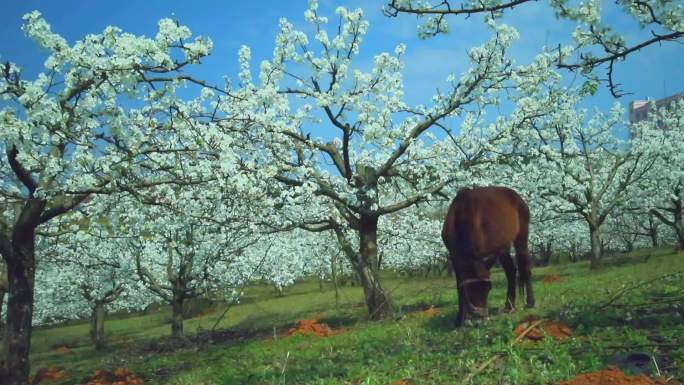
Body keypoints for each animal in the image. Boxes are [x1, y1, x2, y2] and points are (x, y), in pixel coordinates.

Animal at [444, 185, 536, 324]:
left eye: (488, 289)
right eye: (471, 289)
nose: (481, 319)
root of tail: (517, 196)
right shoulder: (454, 257)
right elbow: (459, 285)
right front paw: (460, 320)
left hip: (521, 236)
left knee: (524, 263)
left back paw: (530, 302)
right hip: (503, 245)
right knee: (510, 270)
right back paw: (509, 306)